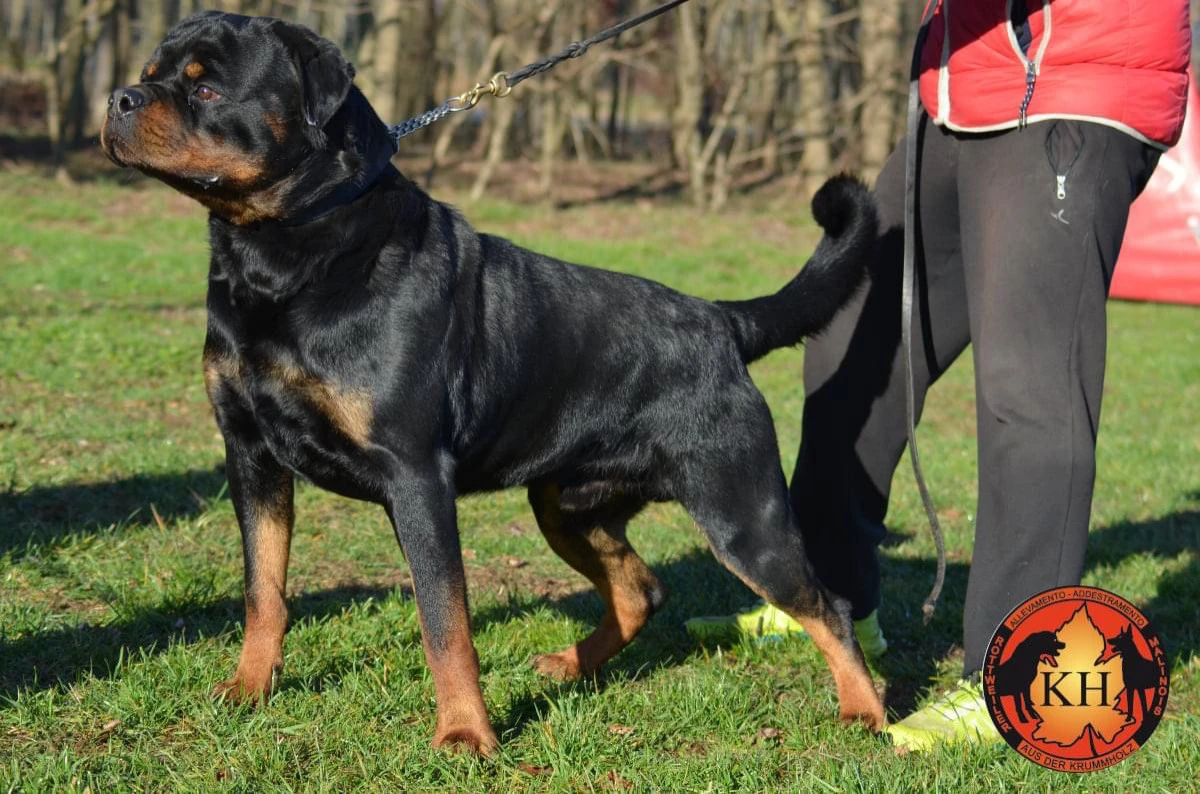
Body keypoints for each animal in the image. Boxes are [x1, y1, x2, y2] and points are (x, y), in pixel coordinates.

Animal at [103, 12, 888, 758]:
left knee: (827, 605)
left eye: (207, 88)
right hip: (568, 504)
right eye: (151, 73)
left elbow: (445, 622)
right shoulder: (251, 454)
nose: (118, 98)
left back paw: (866, 712)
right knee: (643, 589)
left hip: (740, 510)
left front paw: (464, 735)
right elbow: (263, 590)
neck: (282, 257)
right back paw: (572, 665)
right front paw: (248, 689)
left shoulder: (416, 476)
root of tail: (721, 318)